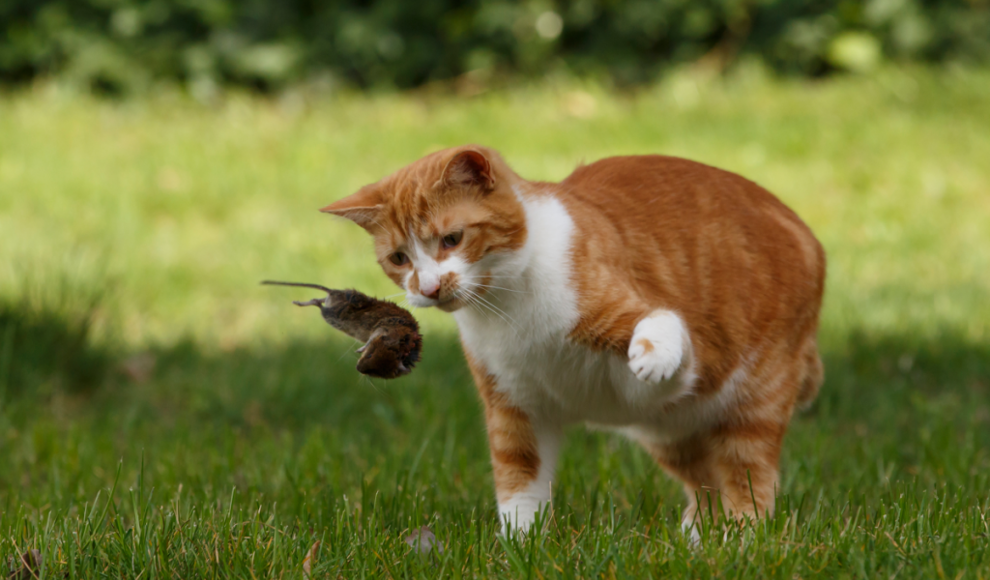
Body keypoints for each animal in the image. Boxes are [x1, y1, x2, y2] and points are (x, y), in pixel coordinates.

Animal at [322, 146, 824, 540]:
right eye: (399, 258)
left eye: (452, 238)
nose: (427, 288)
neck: (507, 307)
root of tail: (806, 233)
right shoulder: (514, 406)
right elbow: (519, 481)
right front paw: (519, 547)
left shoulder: (674, 350)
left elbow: (666, 334)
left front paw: (652, 353)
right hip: (671, 432)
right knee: (706, 483)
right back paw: (697, 539)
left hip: (751, 403)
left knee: (747, 480)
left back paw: (738, 542)